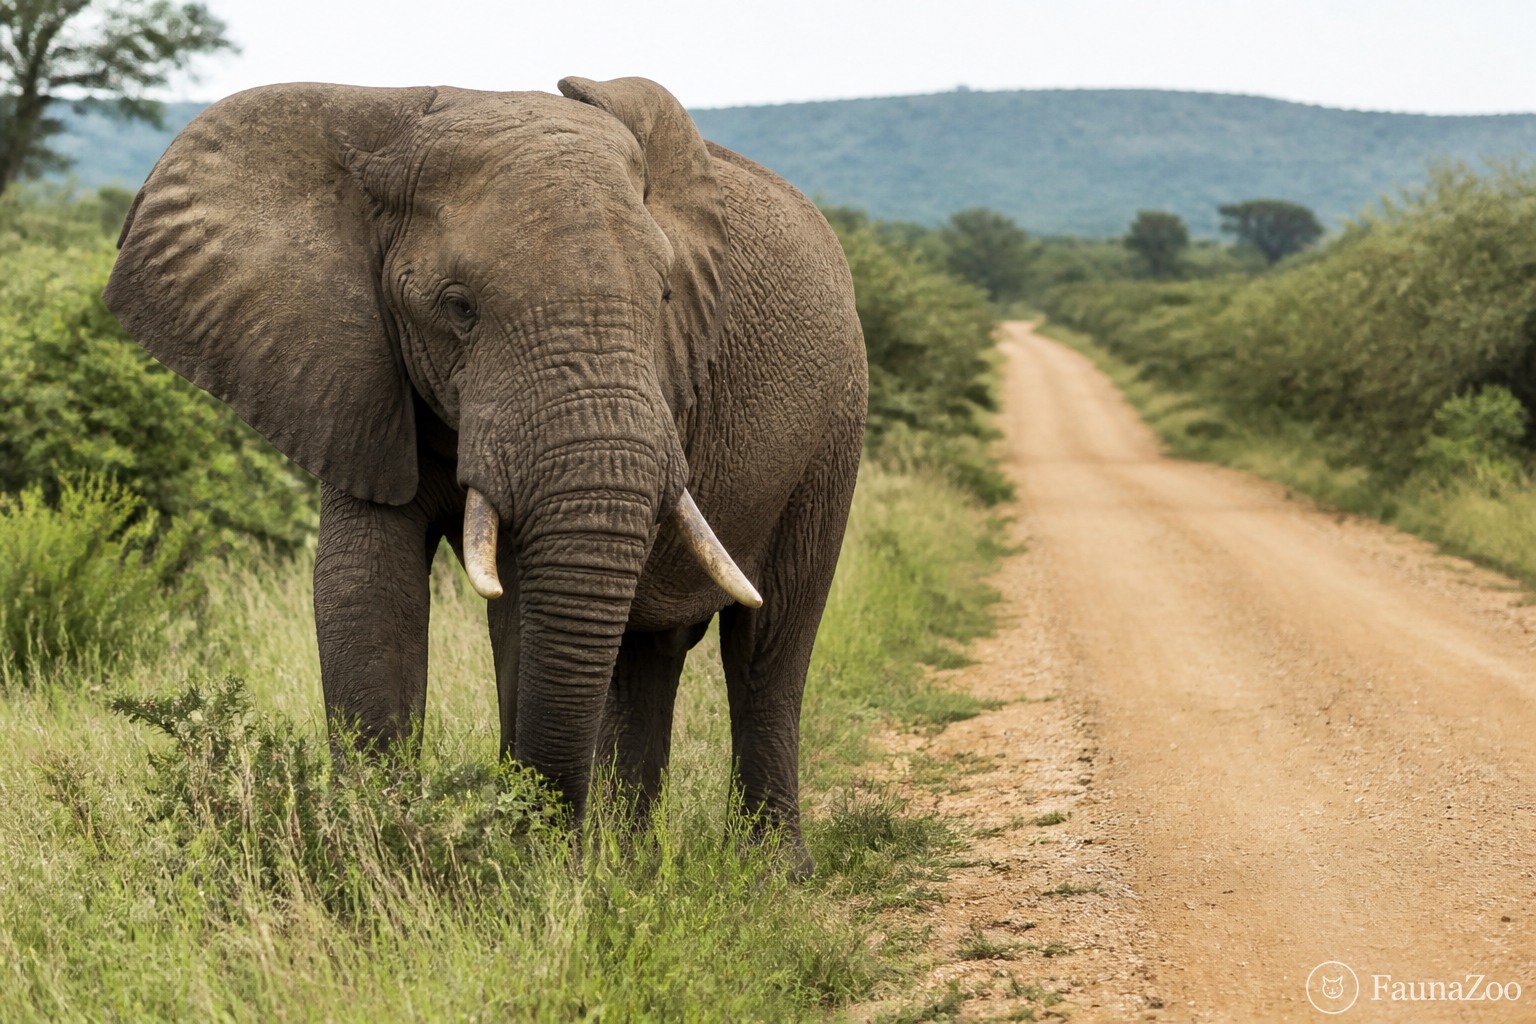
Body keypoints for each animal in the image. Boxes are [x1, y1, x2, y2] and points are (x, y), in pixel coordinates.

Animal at [102, 76, 866, 872]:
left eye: (665, 298)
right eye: (458, 308)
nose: (544, 836)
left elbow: (523, 611)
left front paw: (528, 870)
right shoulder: (352, 371)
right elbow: (363, 583)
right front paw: (377, 855)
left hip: (835, 427)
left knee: (768, 644)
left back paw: (766, 872)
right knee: (646, 654)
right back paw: (629, 866)